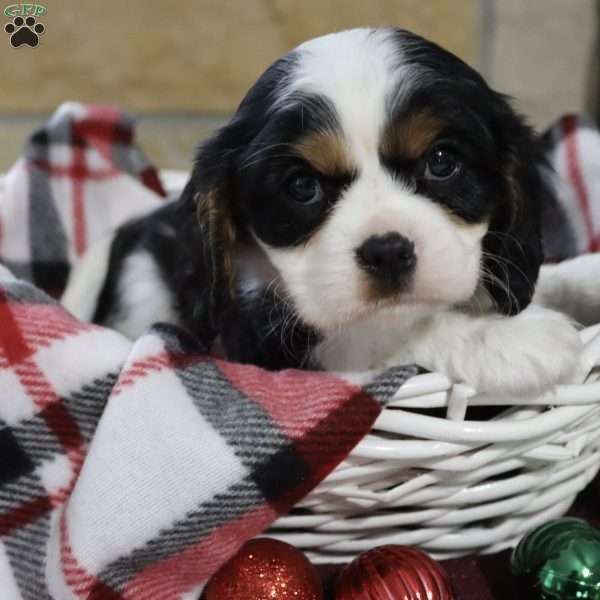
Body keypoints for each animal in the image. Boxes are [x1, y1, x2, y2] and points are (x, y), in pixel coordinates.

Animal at [63, 27, 584, 394]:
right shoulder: (264, 342)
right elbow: (385, 333)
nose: (388, 251)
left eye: (441, 162)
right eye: (302, 187)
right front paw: (512, 341)